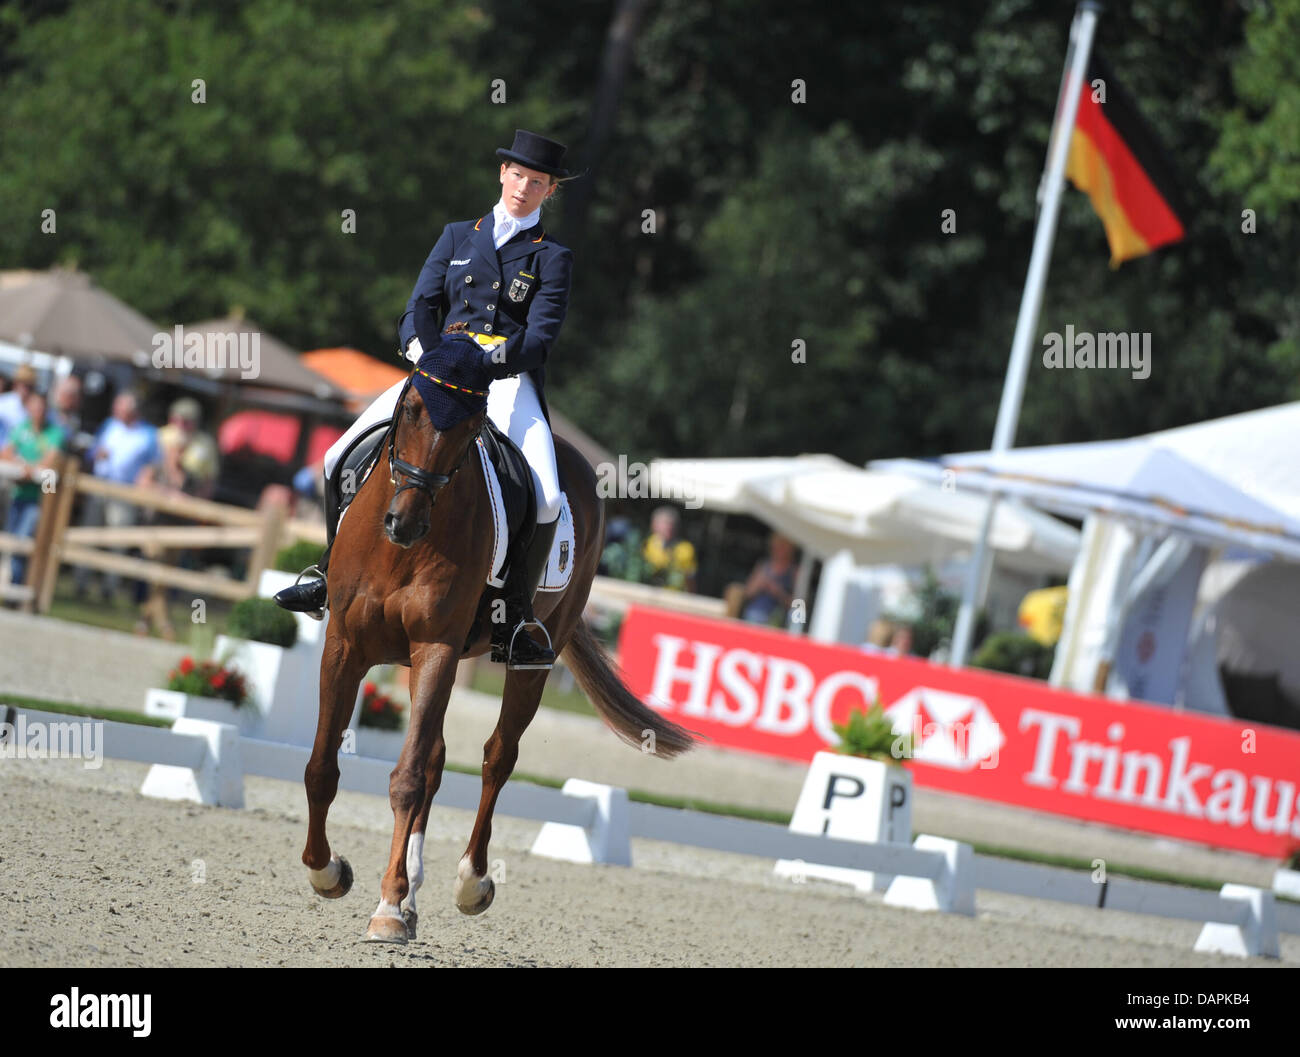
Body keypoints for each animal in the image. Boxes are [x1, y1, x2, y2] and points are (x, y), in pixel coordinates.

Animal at [300, 364, 696, 941]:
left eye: (469, 431)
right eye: (411, 409)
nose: (405, 524)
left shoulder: (436, 648)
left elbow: (407, 778)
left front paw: (388, 907)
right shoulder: (344, 647)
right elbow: (322, 768)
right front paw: (329, 873)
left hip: (531, 659)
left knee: (497, 758)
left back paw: (470, 883)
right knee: (438, 757)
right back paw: (413, 894)